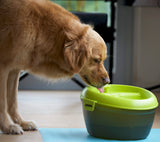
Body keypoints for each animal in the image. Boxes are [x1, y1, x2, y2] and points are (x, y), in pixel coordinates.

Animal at [0, 0, 109, 134]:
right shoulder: (3, 68)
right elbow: (3, 103)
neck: (39, 28)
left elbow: (13, 101)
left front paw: (22, 123)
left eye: (103, 60)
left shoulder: (14, 69)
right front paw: (7, 126)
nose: (108, 81)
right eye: (96, 60)